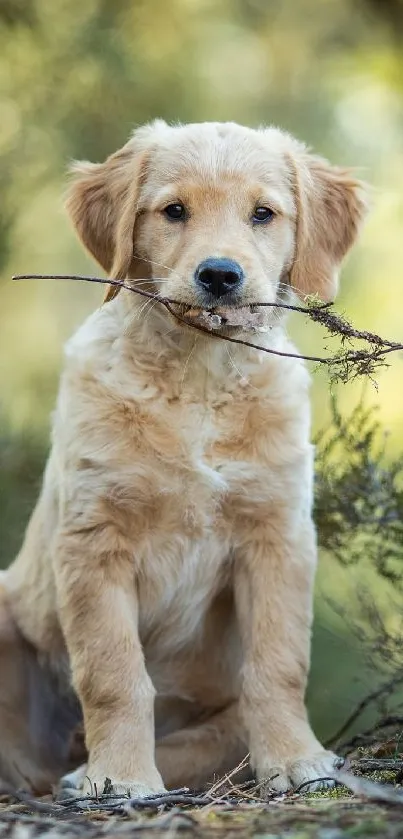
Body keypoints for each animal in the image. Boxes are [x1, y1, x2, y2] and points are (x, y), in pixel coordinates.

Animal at [0, 121, 370, 796]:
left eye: (263, 214)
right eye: (173, 211)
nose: (220, 275)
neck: (199, 377)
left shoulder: (277, 534)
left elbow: (279, 663)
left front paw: (296, 760)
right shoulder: (94, 539)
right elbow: (114, 672)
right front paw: (121, 778)